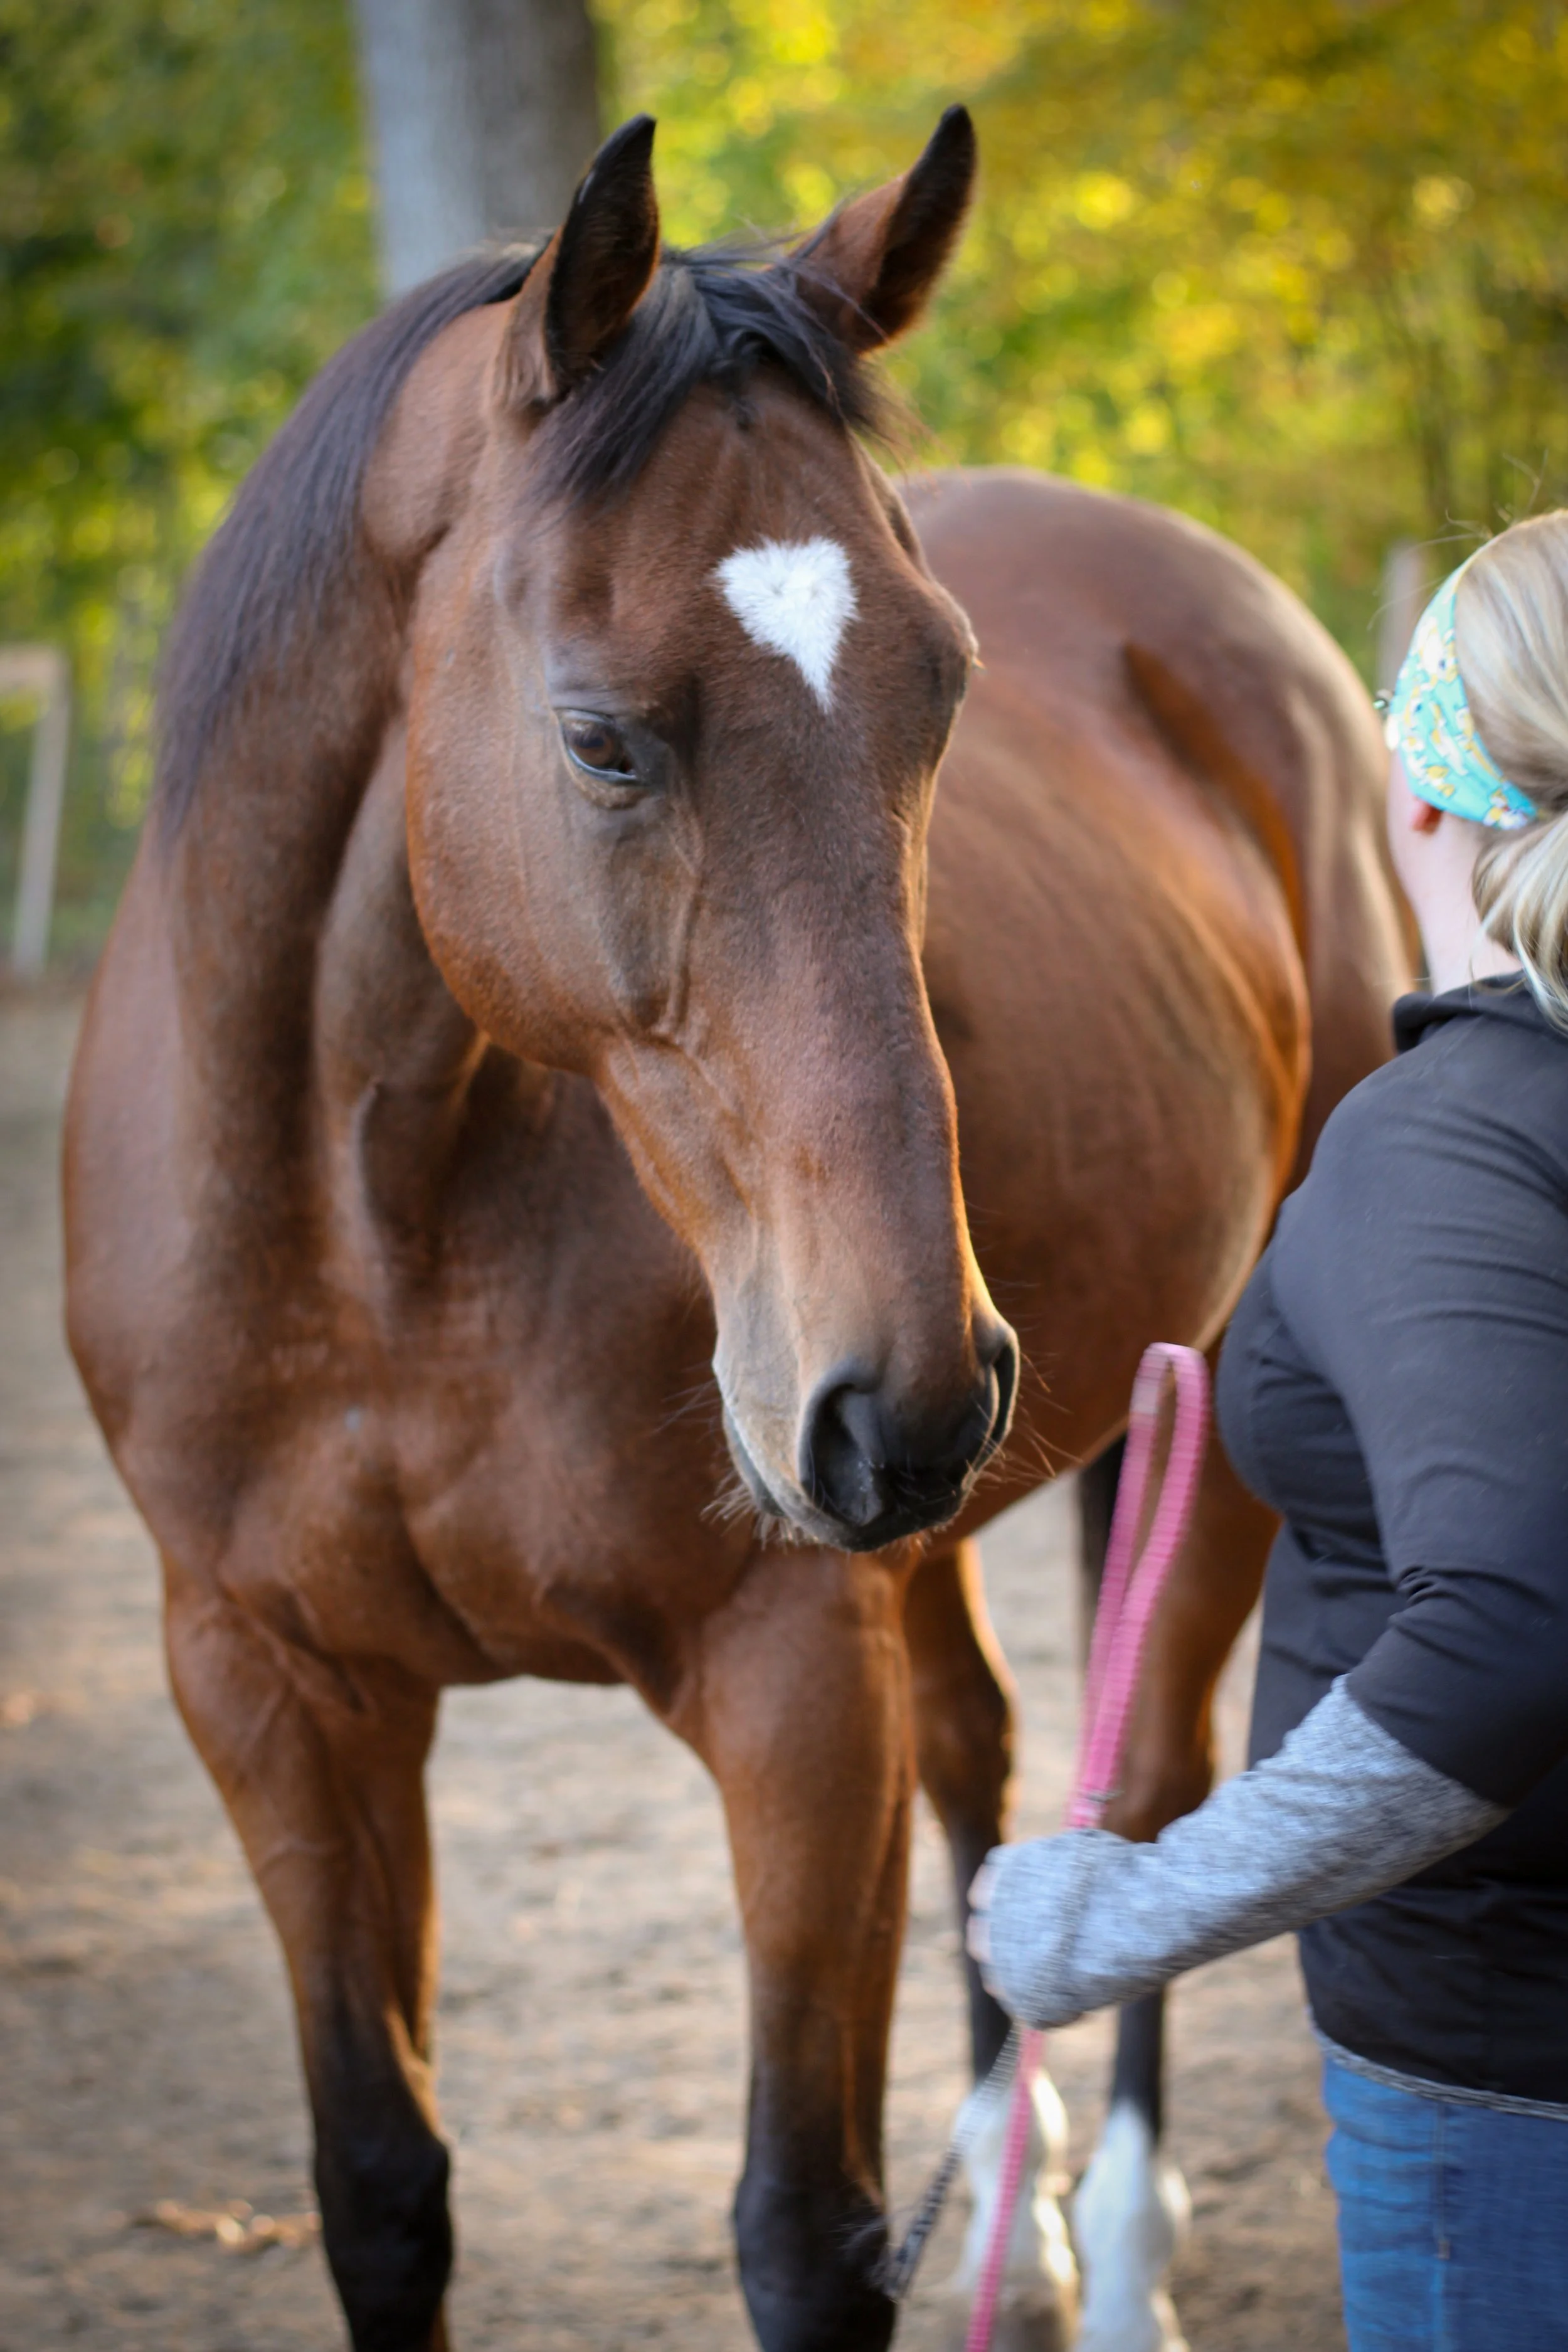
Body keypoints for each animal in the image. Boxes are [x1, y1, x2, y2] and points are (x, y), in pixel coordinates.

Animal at [63, 108, 1408, 2352]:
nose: (907, 1386)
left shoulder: (788, 1685)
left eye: (943, 694)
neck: (375, 1232)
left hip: (1187, 1415)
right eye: (602, 735)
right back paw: (1022, 2205)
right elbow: (381, 2189)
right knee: (992, 1757)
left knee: (1146, 1787)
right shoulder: (267, 1689)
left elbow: (802, 2223)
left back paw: (1121, 2249)